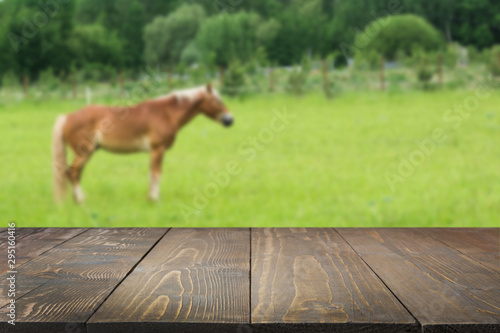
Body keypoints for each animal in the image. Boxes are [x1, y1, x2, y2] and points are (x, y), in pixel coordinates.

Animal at [53, 83, 233, 202]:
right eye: (217, 101)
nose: (230, 120)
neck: (166, 113)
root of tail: (67, 117)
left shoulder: (156, 151)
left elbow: (153, 173)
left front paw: (151, 197)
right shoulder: (157, 149)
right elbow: (155, 174)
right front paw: (154, 199)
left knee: (75, 174)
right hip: (84, 152)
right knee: (72, 173)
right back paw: (81, 201)